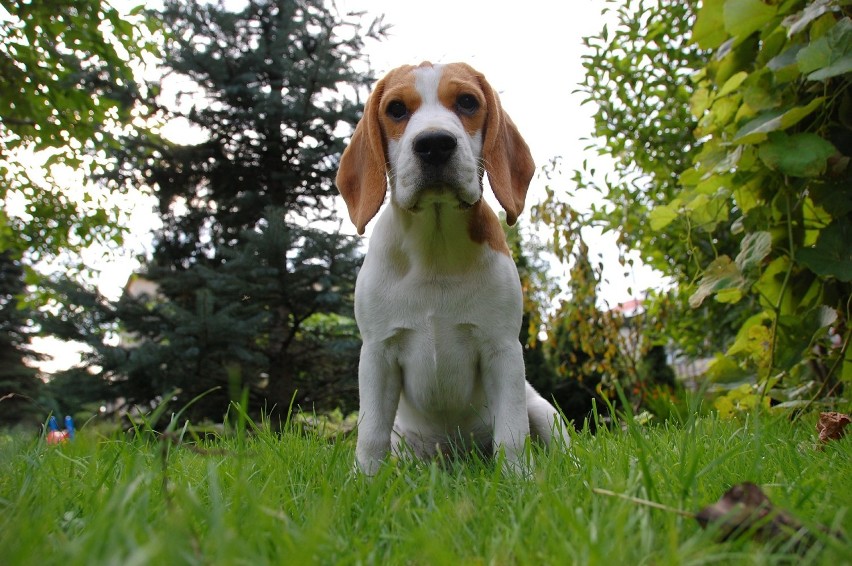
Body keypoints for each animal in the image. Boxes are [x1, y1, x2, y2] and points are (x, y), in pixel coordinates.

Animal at [336, 62, 568, 478]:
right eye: (396, 109)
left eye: (467, 102)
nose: (434, 144)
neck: (436, 245)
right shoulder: (377, 354)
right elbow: (370, 434)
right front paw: (364, 481)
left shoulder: (502, 350)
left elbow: (512, 434)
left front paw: (519, 481)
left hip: (542, 410)